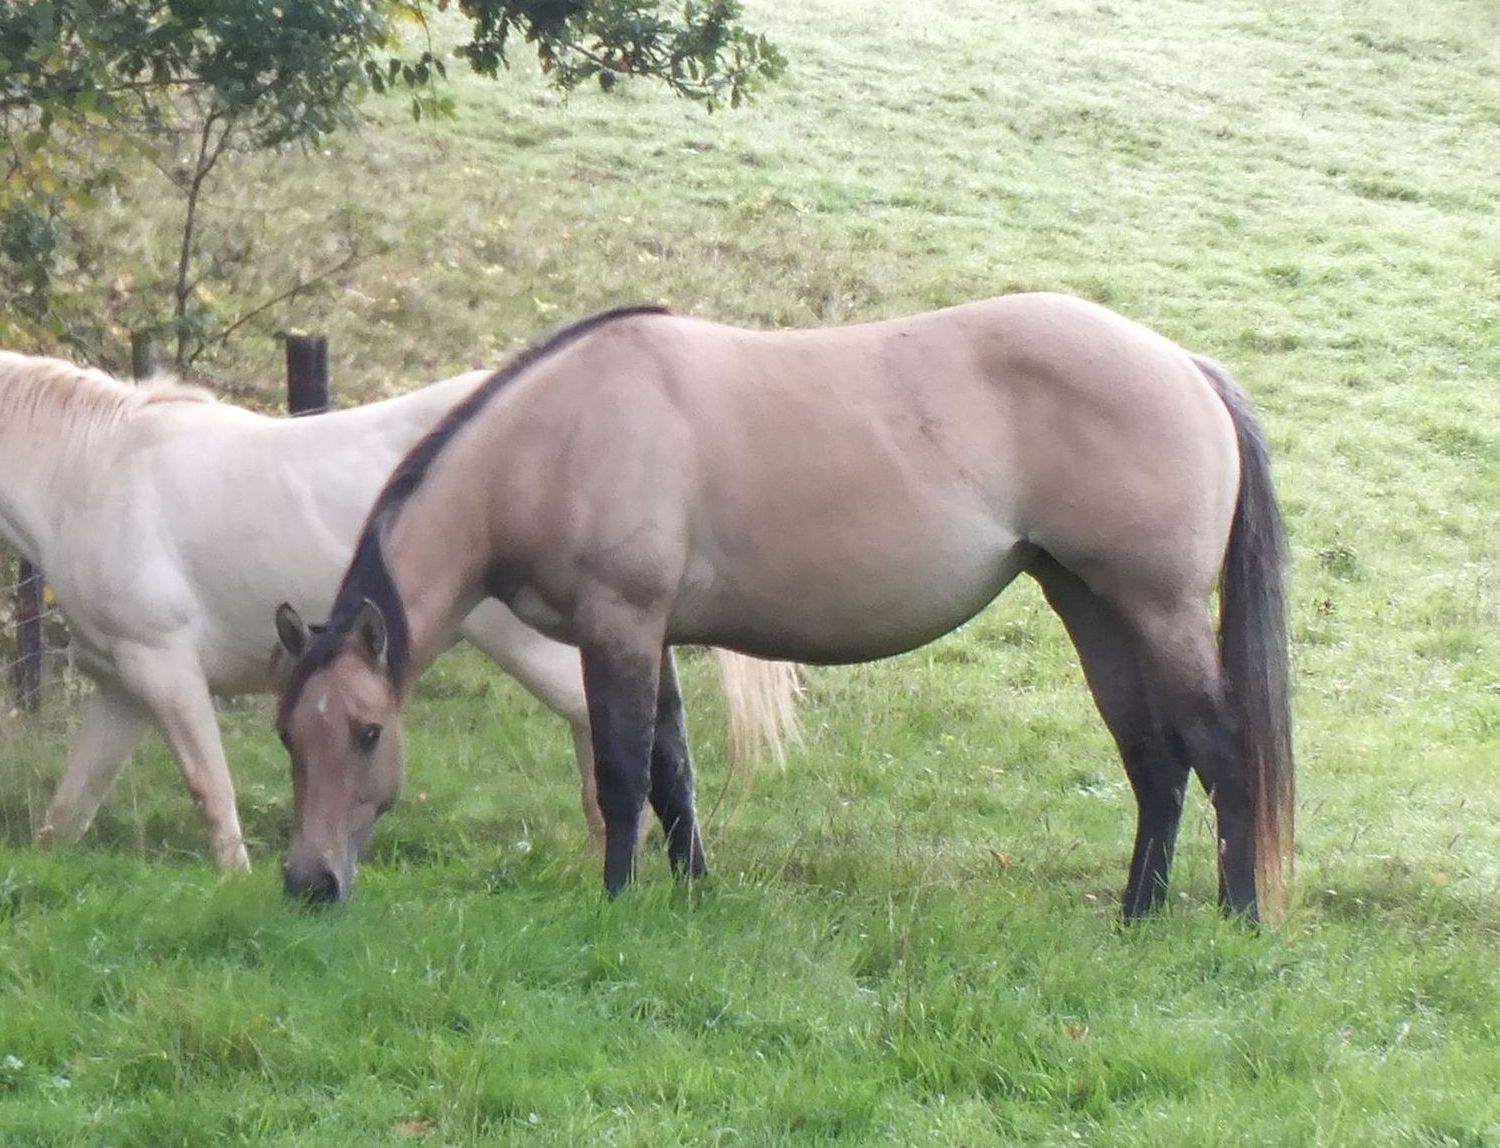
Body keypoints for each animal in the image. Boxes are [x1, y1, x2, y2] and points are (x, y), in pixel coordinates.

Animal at [276, 292, 1294, 921]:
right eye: (291, 735)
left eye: (368, 732)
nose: (308, 883)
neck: (551, 441)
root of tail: (1186, 367)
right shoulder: (650, 635)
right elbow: (673, 775)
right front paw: (692, 896)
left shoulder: (619, 625)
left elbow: (623, 774)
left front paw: (616, 904)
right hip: (1091, 605)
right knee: (1155, 764)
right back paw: (1135, 917)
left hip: (1158, 610)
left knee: (1220, 753)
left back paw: (1236, 919)